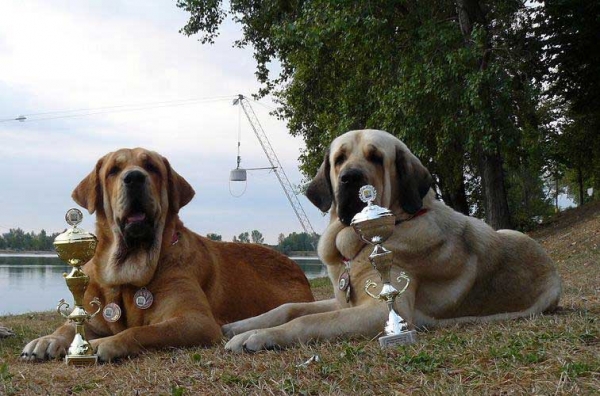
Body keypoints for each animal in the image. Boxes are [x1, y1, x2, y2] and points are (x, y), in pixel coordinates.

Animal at [21, 147, 314, 360]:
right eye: (114, 170)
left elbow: (142, 330)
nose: (134, 177)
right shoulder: (94, 314)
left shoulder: (196, 320)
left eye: (151, 166)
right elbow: (70, 325)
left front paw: (107, 343)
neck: (130, 269)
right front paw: (48, 339)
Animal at [221, 128, 564, 352]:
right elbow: (290, 307)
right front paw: (240, 326)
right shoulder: (344, 299)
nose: (350, 178)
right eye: (339, 159)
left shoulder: (380, 311)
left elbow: (307, 322)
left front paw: (257, 337)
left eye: (375, 157)